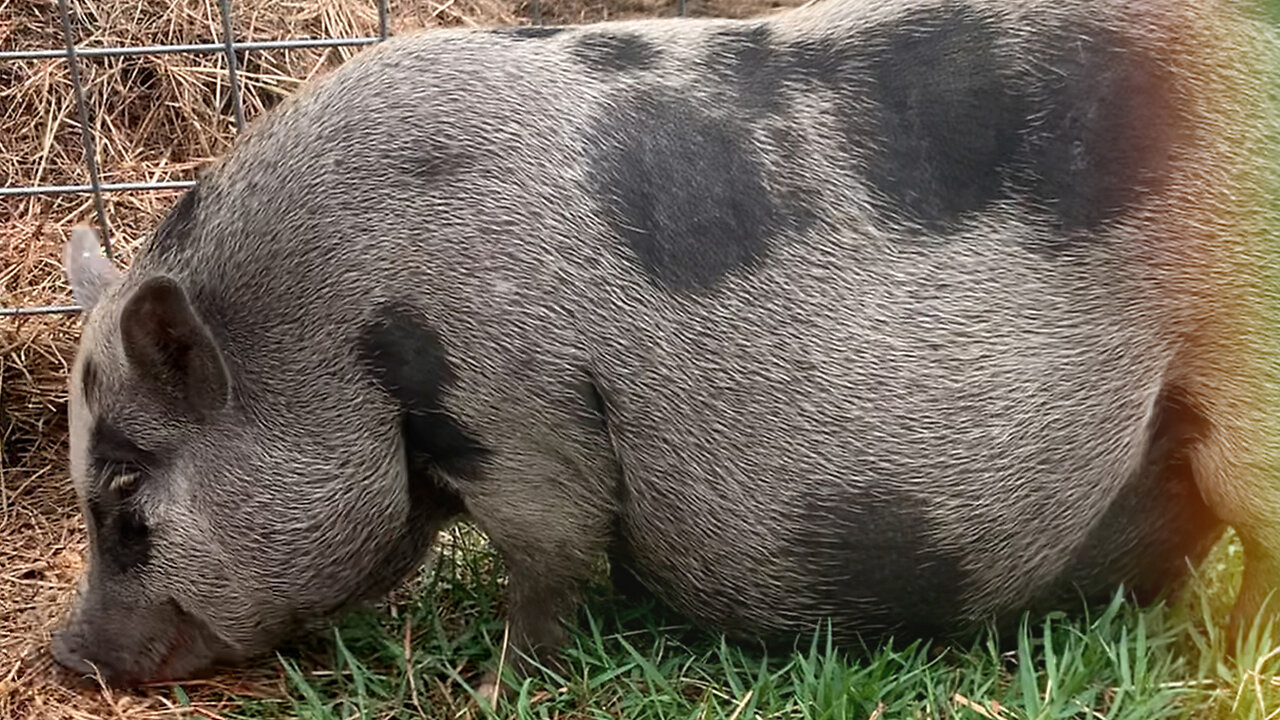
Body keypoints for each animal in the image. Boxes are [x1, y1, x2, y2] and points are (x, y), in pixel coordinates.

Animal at [49, 0, 1280, 691]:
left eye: (124, 492)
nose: (63, 653)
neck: (335, 323)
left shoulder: (518, 409)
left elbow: (548, 560)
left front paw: (496, 687)